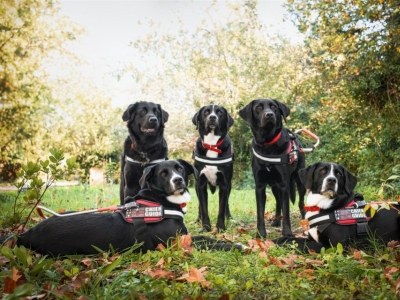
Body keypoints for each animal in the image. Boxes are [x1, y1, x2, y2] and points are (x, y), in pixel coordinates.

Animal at [238, 97, 306, 238]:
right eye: (258, 108)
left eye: (274, 107)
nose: (269, 114)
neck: (268, 143)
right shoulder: (260, 186)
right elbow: (260, 213)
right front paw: (260, 234)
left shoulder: (284, 185)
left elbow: (287, 212)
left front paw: (287, 234)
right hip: (274, 186)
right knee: (278, 202)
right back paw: (276, 221)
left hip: (299, 180)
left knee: (301, 201)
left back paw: (304, 219)